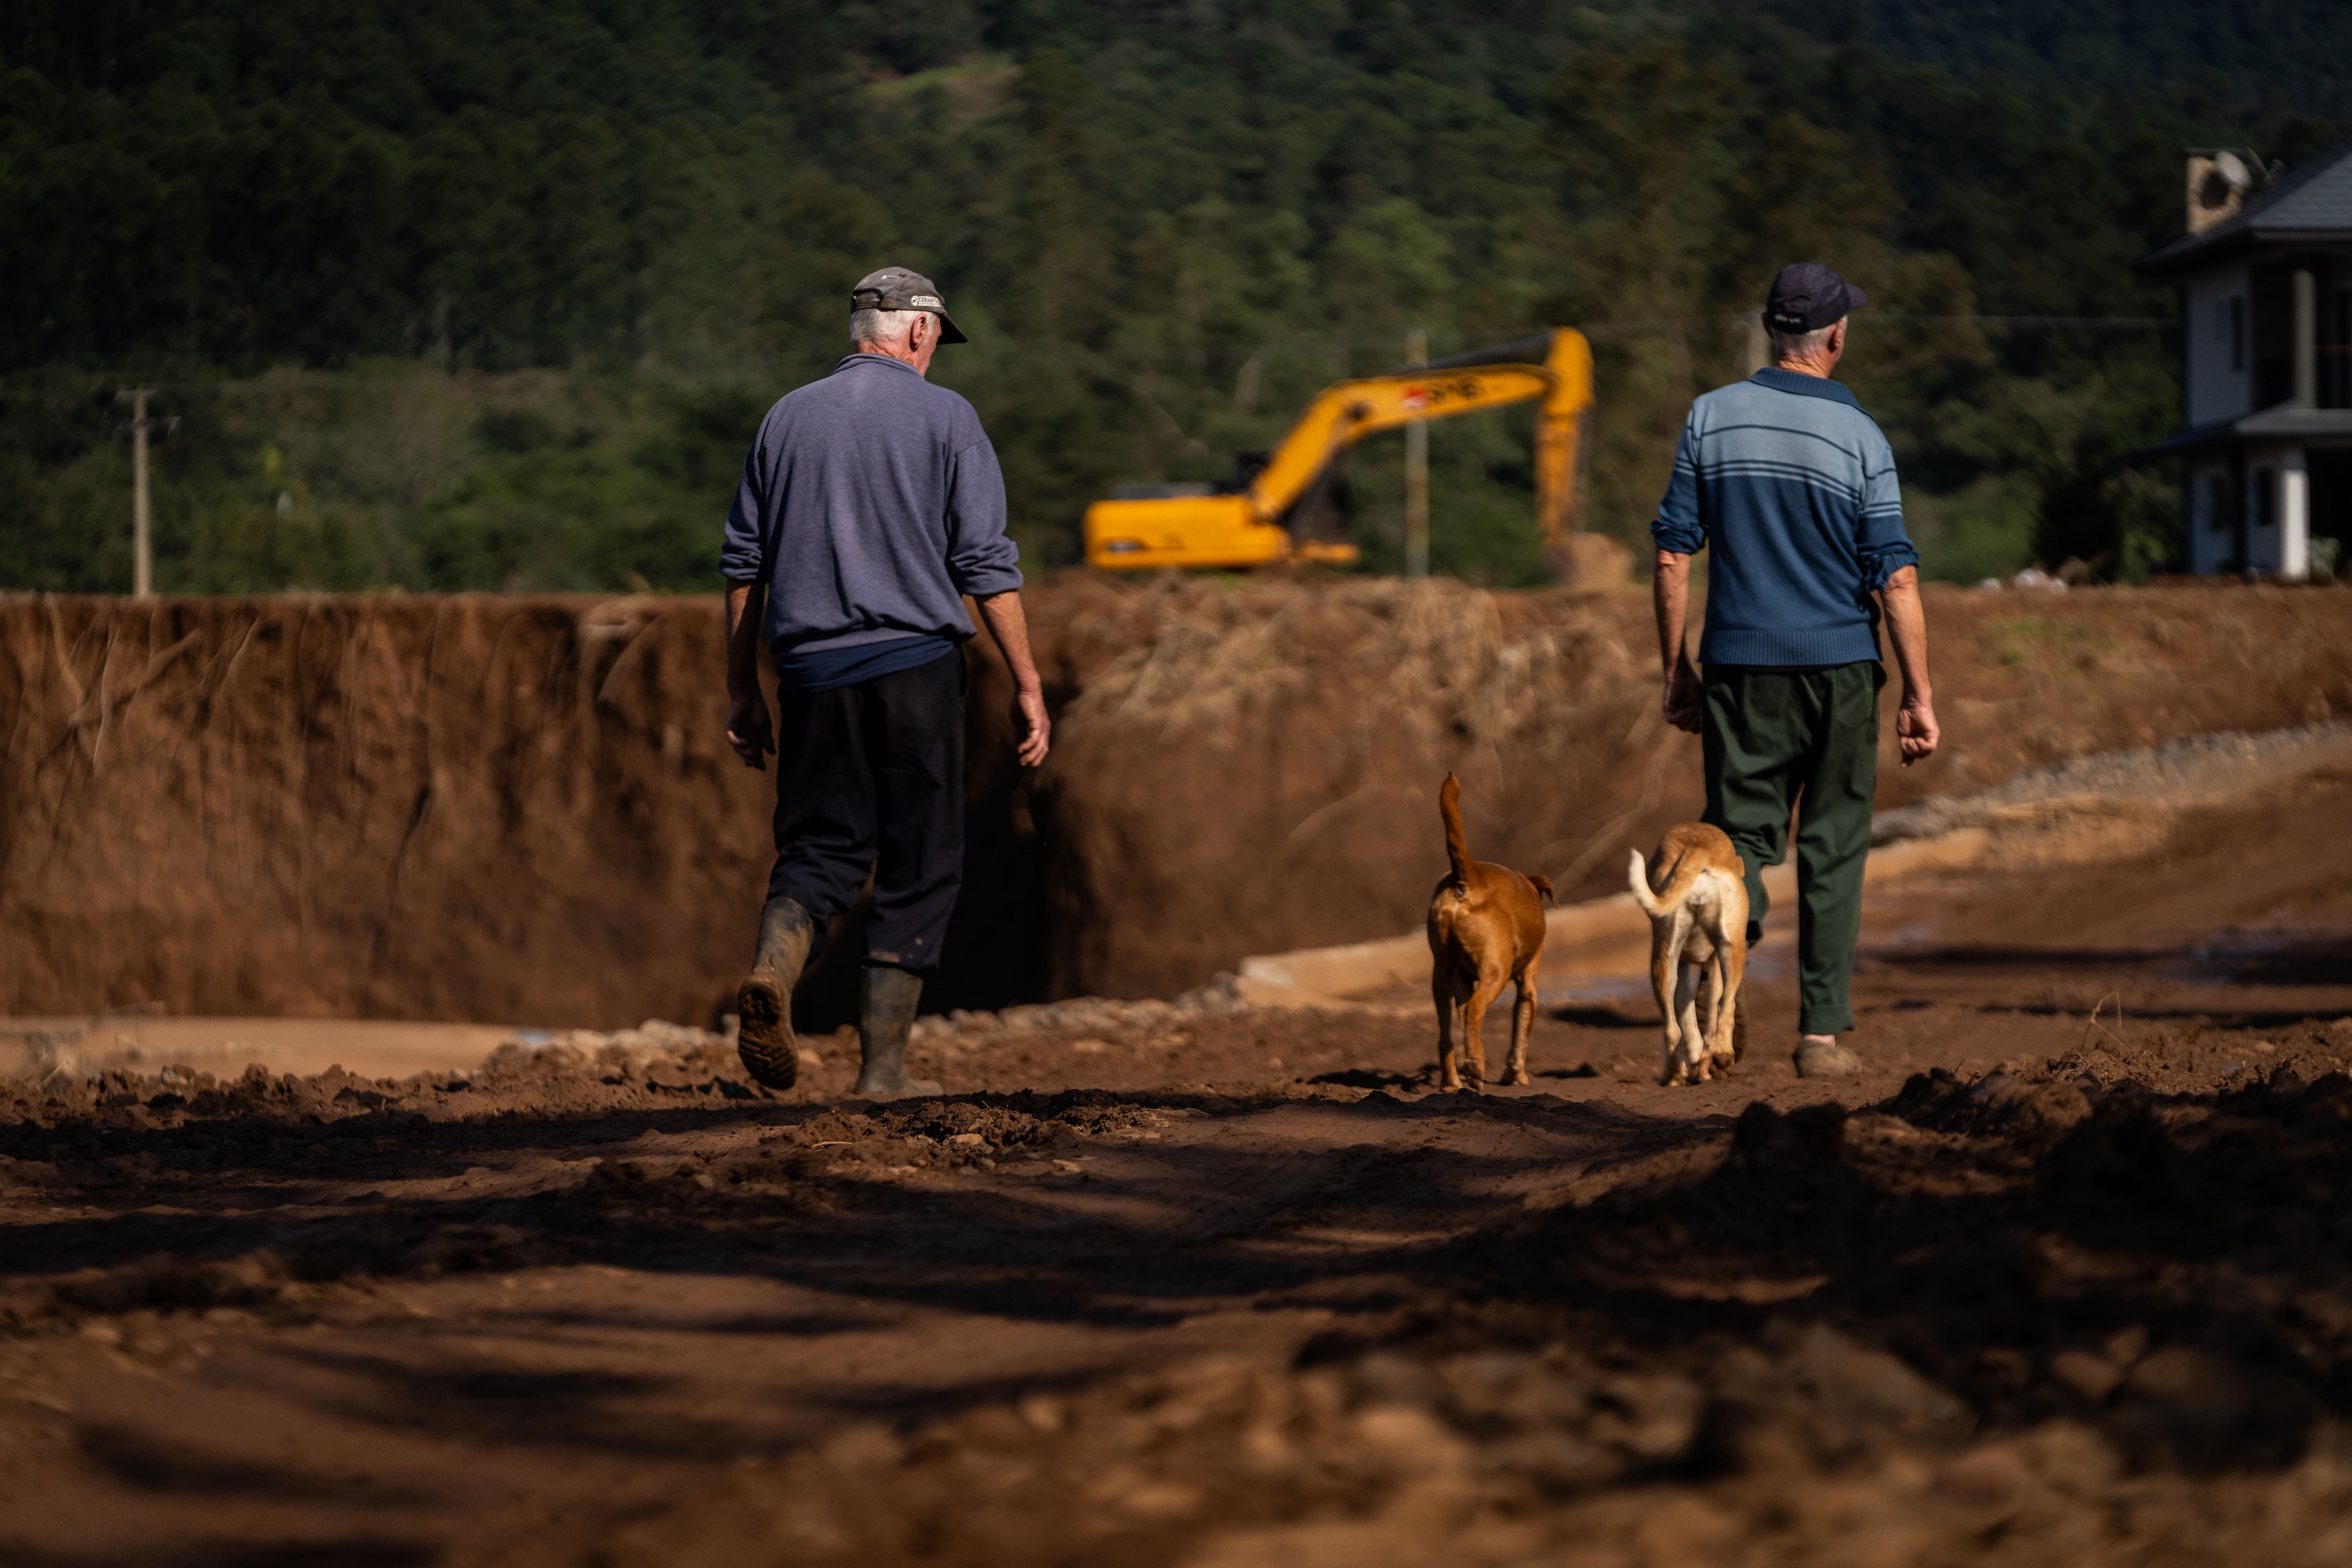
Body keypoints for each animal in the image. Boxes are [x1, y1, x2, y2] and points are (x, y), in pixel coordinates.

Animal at [1420, 771, 1552, 1091]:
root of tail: (1469, 878)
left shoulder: (1463, 980)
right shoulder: (1528, 986)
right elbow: (1521, 1032)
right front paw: (1516, 1075)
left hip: (1441, 974)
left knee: (1447, 1033)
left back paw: (1453, 1082)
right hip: (1497, 972)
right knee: (1475, 1010)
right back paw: (1476, 1067)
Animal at [1637, 823, 1750, 1091]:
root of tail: (1698, 848)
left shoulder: (1688, 968)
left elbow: (1692, 1023)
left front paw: (1701, 1067)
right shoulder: (1712, 965)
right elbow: (1710, 1018)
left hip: (1665, 959)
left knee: (1673, 1029)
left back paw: (1675, 1075)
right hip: (1732, 950)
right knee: (1725, 1006)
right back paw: (1718, 1056)